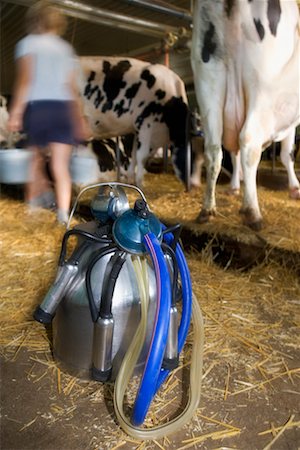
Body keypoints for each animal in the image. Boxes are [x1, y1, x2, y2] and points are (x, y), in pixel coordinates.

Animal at [78, 56, 189, 188]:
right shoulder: (146, 124)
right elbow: (141, 156)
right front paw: (140, 183)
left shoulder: (137, 130)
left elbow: (135, 154)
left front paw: (131, 180)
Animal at [191, 0, 298, 230]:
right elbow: (287, 154)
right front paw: (295, 188)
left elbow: (234, 154)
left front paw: (234, 186)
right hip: (262, 83)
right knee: (249, 140)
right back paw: (252, 212)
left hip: (208, 79)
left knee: (214, 149)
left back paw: (207, 209)